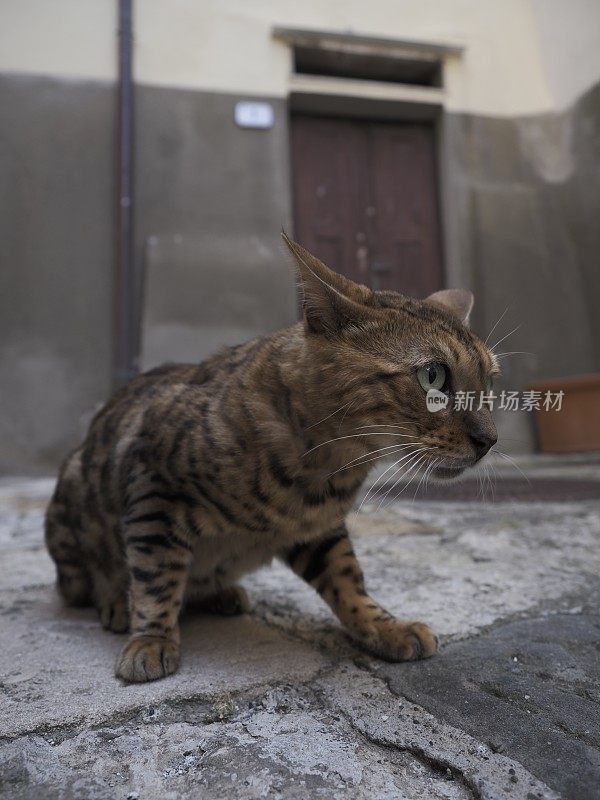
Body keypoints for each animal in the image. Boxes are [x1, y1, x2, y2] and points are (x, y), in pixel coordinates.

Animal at [44, 234, 500, 684]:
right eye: (432, 376)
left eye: (490, 382)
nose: (490, 440)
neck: (324, 468)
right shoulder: (153, 484)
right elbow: (157, 575)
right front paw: (152, 640)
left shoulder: (317, 529)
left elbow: (348, 579)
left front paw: (384, 627)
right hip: (72, 505)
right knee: (82, 580)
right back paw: (117, 602)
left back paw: (222, 593)